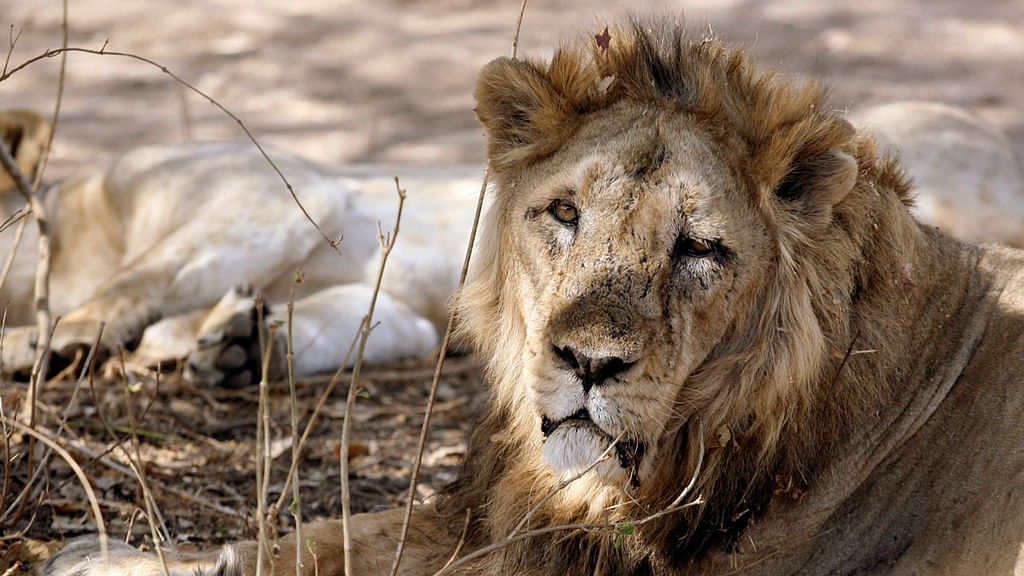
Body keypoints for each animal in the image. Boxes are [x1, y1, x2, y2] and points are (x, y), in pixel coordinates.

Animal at [34, 20, 1024, 569]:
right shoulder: (494, 521)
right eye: (564, 213)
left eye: (700, 249)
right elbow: (314, 542)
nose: (587, 362)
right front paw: (99, 554)